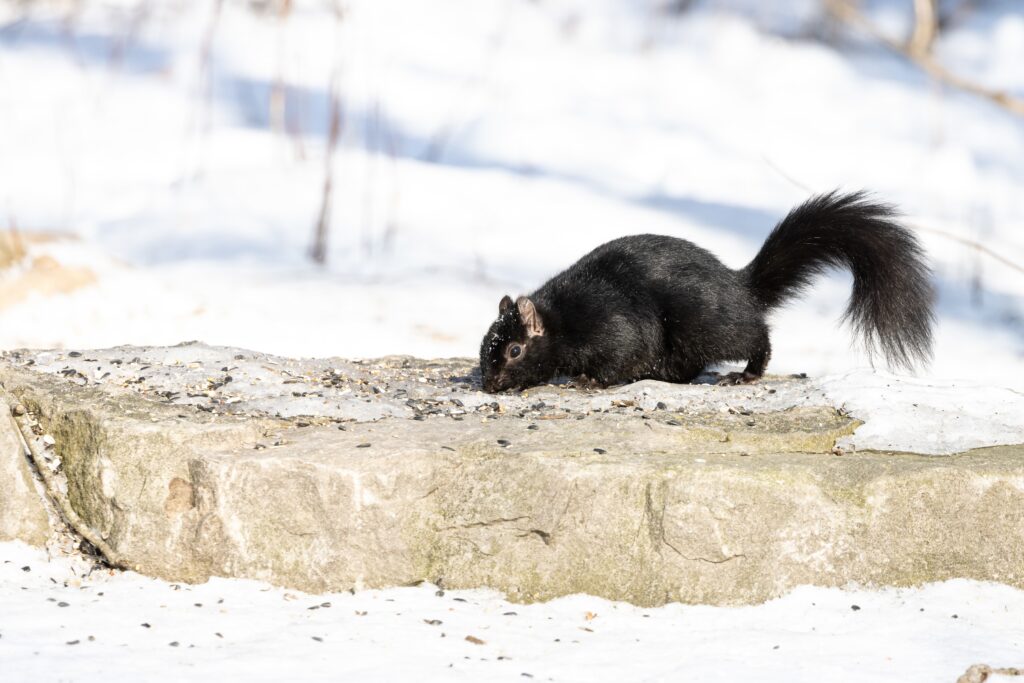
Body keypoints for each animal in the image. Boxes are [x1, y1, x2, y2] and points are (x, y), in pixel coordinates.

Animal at [479, 192, 937, 393]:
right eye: (486, 345)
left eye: (515, 350)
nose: (489, 384)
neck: (561, 318)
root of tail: (739, 287)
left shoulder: (608, 323)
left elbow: (621, 353)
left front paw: (588, 380)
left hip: (704, 322)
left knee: (754, 336)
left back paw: (746, 372)